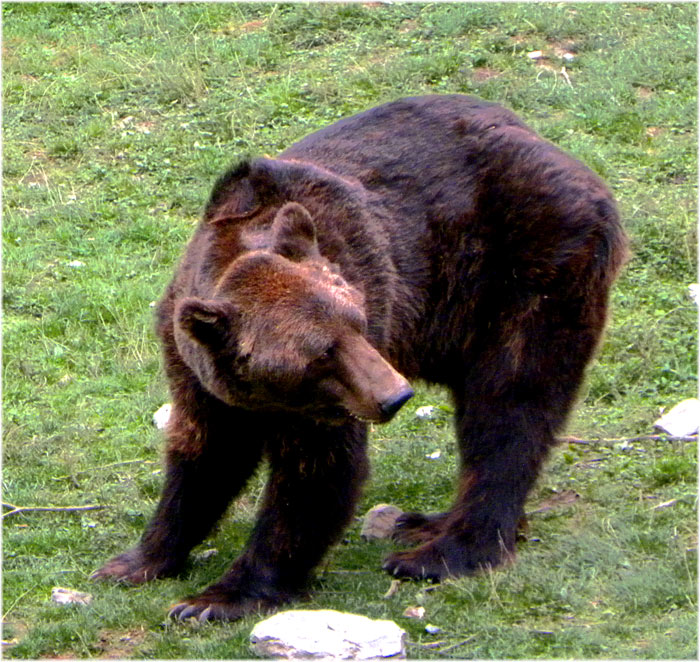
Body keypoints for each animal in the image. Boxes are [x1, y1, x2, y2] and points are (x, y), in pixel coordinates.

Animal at [92, 95, 627, 621]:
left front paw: (218, 598)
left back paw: (440, 552)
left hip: (526, 268)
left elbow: (316, 476)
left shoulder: (329, 389)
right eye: (321, 351)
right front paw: (136, 560)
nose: (394, 396)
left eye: (359, 321)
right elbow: (206, 454)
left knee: (508, 406)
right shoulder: (194, 364)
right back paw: (426, 523)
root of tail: (569, 158)